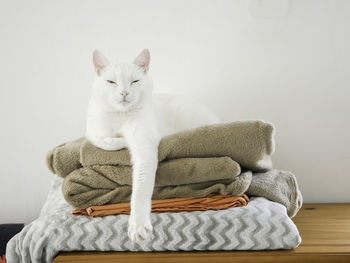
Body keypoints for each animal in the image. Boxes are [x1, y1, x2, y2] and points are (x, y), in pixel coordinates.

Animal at [87, 49, 219, 243]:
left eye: (134, 81)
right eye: (111, 82)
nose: (124, 93)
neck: (122, 117)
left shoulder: (145, 146)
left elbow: (141, 188)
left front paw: (138, 225)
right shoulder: (91, 131)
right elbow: (101, 140)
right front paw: (120, 140)